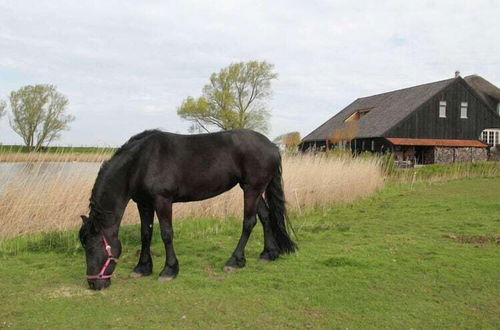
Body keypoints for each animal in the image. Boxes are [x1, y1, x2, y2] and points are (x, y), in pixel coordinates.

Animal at [79, 129, 296, 288]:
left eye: (93, 247)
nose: (93, 284)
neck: (141, 162)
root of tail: (272, 146)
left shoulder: (163, 201)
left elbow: (166, 234)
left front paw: (169, 270)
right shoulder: (144, 203)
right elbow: (145, 234)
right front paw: (142, 268)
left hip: (251, 189)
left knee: (249, 222)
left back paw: (234, 261)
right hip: (253, 189)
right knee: (266, 216)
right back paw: (268, 254)